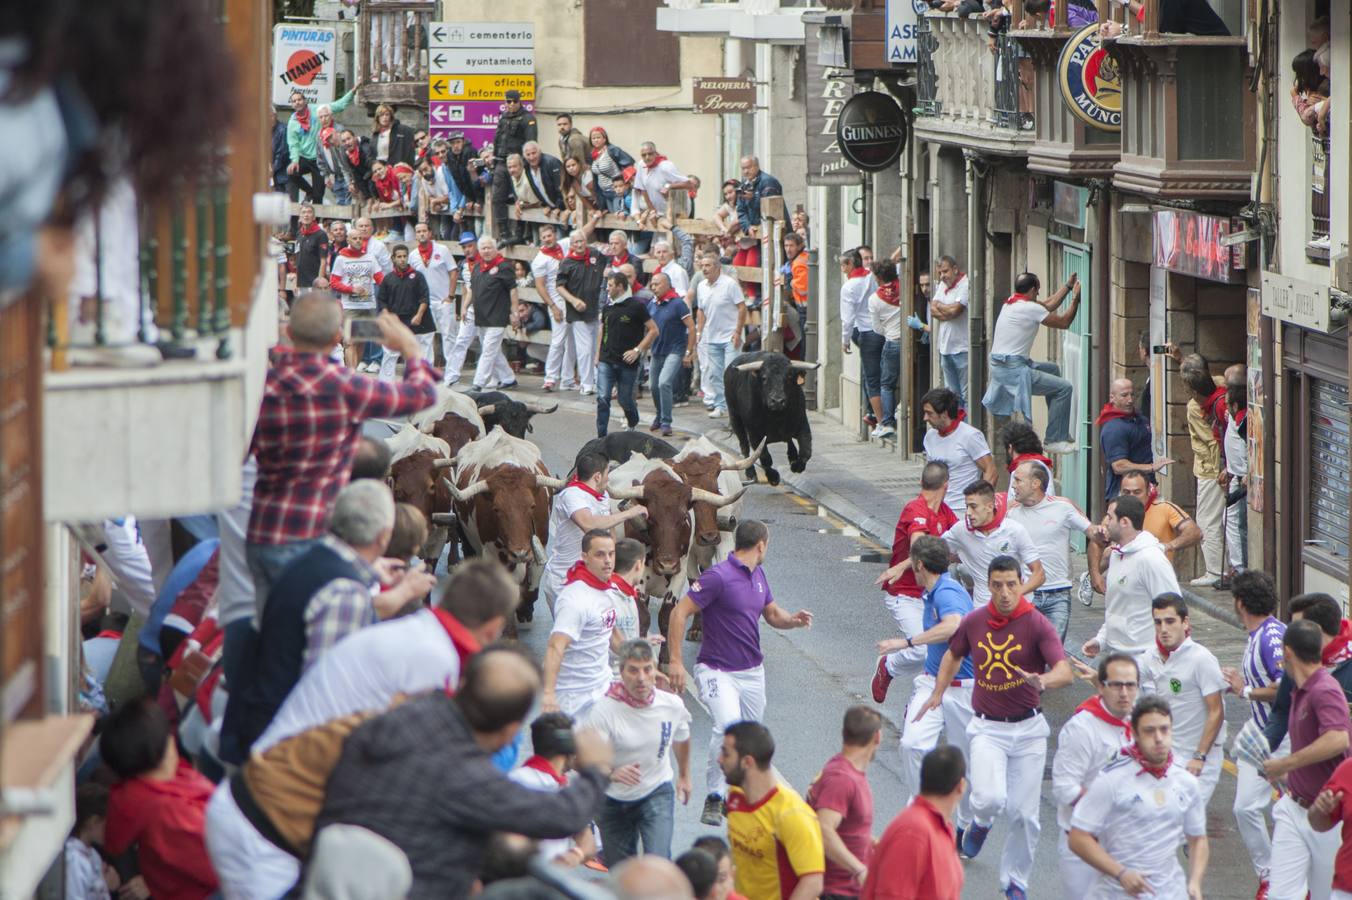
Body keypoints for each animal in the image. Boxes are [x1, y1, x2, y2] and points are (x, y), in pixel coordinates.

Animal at [724, 348, 816, 483]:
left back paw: (792, 456)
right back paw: (751, 473)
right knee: (744, 447)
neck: (776, 417)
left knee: (789, 440)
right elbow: (765, 458)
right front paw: (773, 477)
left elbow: (806, 451)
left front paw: (796, 465)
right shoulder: (755, 434)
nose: (777, 401)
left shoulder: (802, 424)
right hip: (735, 419)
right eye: (764, 378)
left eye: (789, 376)